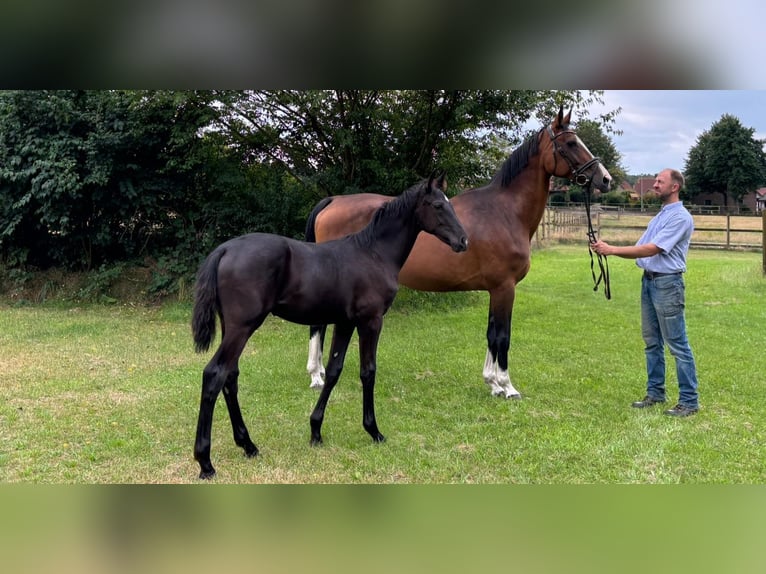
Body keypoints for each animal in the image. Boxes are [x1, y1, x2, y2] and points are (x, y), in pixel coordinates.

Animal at [190, 174, 468, 482]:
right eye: (437, 205)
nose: (463, 241)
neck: (373, 253)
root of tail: (224, 249)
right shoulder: (371, 321)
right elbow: (368, 372)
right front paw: (374, 431)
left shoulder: (344, 322)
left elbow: (334, 371)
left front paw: (315, 431)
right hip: (243, 327)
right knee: (214, 374)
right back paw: (205, 462)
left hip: (233, 328)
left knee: (230, 377)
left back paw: (248, 445)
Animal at [304, 106, 612, 400]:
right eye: (571, 143)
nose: (605, 179)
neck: (505, 212)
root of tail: (332, 201)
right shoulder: (505, 288)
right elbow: (503, 336)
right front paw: (507, 386)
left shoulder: (495, 289)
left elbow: (490, 334)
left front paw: (492, 383)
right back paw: (317, 376)